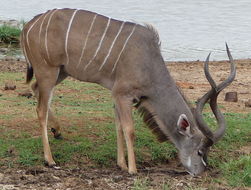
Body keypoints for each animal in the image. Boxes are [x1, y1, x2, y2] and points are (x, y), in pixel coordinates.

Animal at [21, 8, 235, 175]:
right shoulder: (122, 94)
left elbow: (118, 126)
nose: (199, 172)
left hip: (61, 72)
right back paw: (50, 160)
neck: (149, 63)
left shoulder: (117, 96)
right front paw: (132, 169)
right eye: (199, 151)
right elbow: (129, 129)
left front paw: (121, 165)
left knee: (35, 89)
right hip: (48, 70)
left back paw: (57, 131)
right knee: (40, 109)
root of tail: (29, 24)